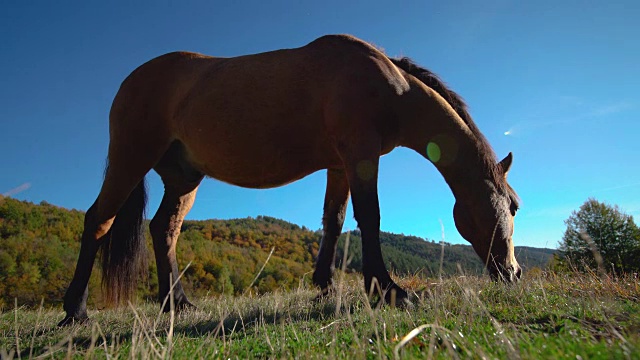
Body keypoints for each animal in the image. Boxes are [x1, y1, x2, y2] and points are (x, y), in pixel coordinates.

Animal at [58, 35, 520, 324]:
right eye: (514, 205)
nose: (514, 273)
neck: (390, 86)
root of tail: (130, 81)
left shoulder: (340, 164)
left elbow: (334, 221)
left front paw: (325, 287)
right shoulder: (361, 154)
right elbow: (369, 217)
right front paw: (387, 289)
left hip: (184, 178)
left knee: (163, 229)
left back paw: (179, 305)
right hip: (130, 159)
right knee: (98, 221)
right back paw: (75, 311)